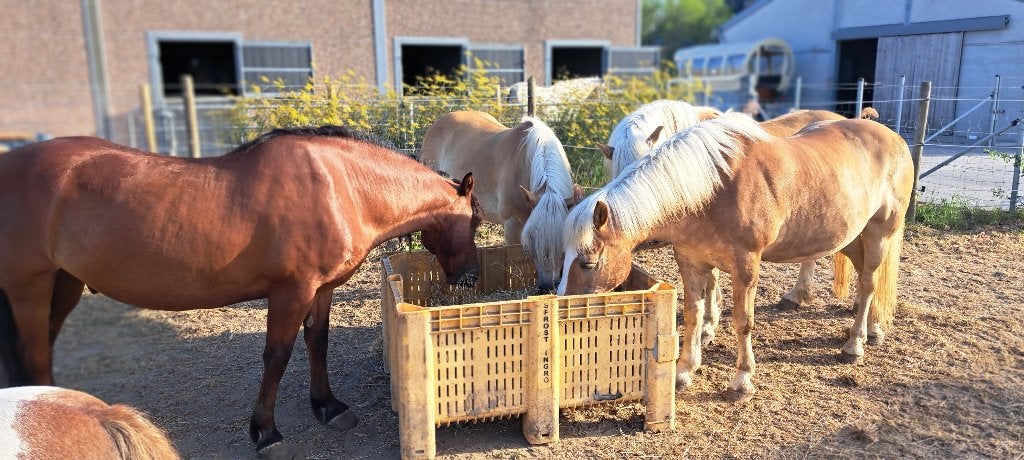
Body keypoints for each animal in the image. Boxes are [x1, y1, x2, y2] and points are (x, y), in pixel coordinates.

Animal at [559, 113, 913, 402]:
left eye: (588, 263)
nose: (564, 308)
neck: (713, 189)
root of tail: (892, 135)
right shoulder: (690, 261)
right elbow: (693, 315)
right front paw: (685, 370)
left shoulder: (746, 266)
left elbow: (743, 322)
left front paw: (741, 381)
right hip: (849, 237)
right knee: (867, 279)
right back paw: (873, 329)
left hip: (880, 233)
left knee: (868, 284)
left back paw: (855, 344)